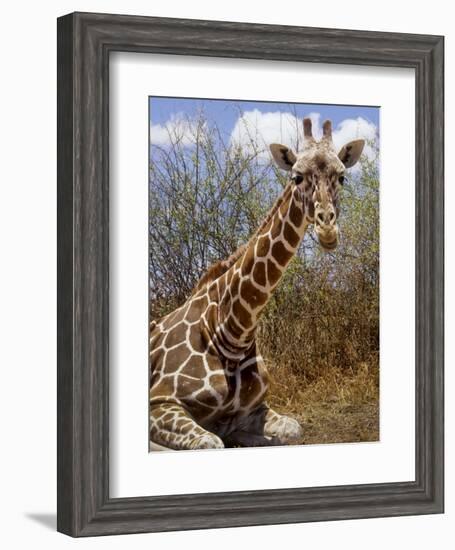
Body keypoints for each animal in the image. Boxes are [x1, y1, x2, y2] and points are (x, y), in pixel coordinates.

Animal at [151, 118, 366, 450]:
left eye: (341, 177)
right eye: (296, 177)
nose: (327, 229)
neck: (230, 330)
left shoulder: (254, 408)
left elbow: (292, 430)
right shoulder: (159, 402)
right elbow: (211, 442)